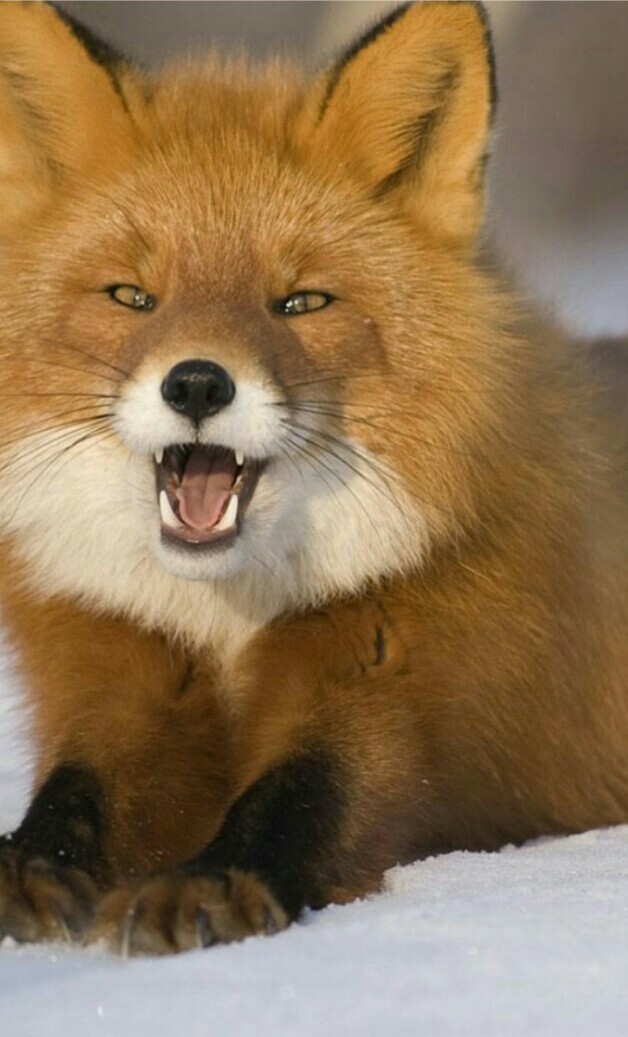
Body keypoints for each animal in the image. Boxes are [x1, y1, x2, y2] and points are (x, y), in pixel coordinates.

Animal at [0, 0, 626, 956]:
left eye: (300, 302)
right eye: (132, 296)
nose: (196, 383)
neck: (222, 619)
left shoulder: (401, 688)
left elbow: (305, 796)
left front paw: (211, 883)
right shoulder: (120, 677)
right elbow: (75, 796)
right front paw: (27, 869)